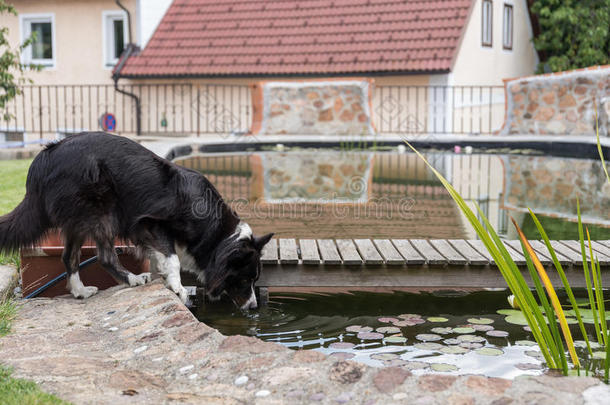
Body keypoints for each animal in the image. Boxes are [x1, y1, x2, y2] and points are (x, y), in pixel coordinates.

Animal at [0, 131, 272, 308]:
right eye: (245, 279)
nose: (253, 307)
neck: (219, 235)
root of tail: (43, 159)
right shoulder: (151, 223)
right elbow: (173, 260)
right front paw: (179, 290)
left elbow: (163, 258)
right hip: (102, 212)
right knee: (104, 257)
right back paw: (129, 279)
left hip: (81, 220)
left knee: (70, 256)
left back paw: (82, 291)